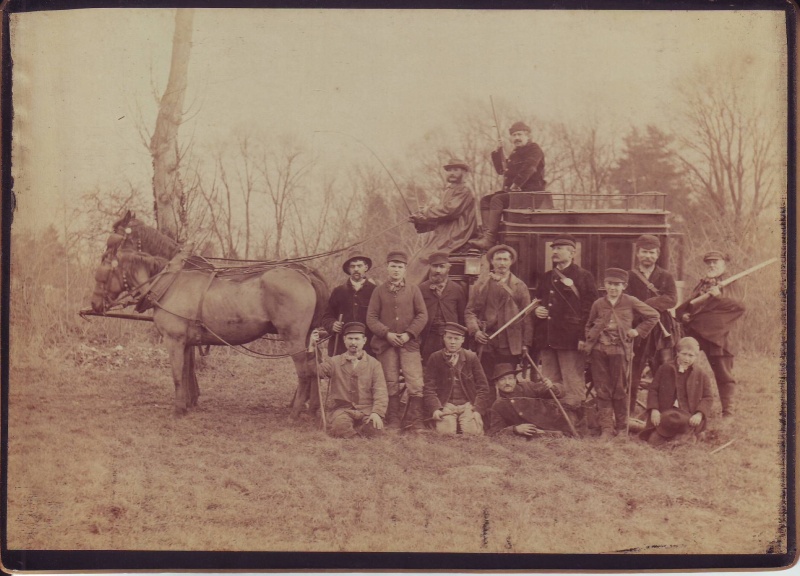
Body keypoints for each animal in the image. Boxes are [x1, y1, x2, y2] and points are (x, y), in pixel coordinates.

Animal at [92, 209, 330, 416]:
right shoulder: (186, 341)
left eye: (104, 266)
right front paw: (188, 402)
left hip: (293, 337)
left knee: (304, 372)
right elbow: (187, 371)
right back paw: (313, 409)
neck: (171, 281)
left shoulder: (173, 340)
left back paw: (296, 412)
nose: (94, 303)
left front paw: (180, 408)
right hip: (308, 337)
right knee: (315, 367)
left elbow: (178, 374)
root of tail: (306, 275)